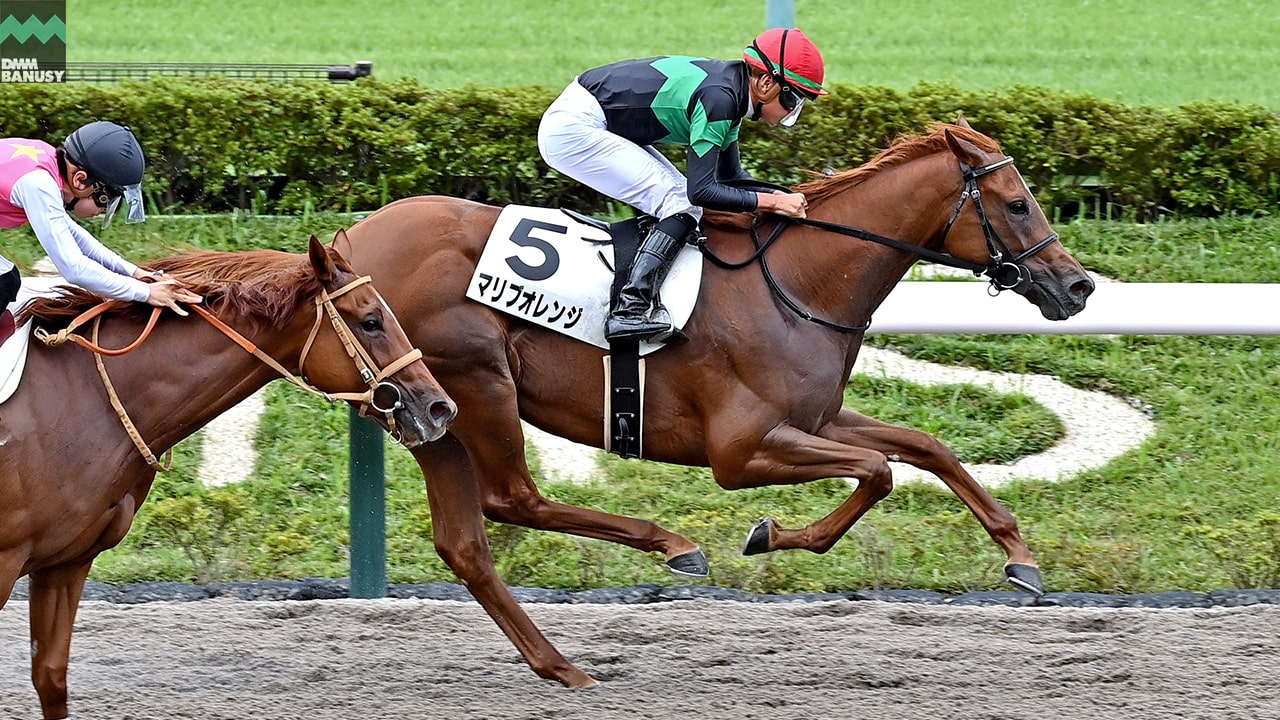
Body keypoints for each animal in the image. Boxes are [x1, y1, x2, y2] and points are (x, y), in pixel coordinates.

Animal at [0, 235, 460, 717]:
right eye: (371, 321)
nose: (439, 408)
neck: (83, 398)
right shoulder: (7, 562)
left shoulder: (65, 563)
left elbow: (51, 678)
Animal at [343, 119, 1100, 681]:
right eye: (1016, 203)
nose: (1078, 287)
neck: (798, 280)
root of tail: (348, 243)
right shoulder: (740, 451)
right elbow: (879, 472)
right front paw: (771, 534)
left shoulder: (818, 417)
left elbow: (926, 447)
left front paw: (1020, 556)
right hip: (476, 382)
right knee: (512, 500)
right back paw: (673, 547)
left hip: (431, 413)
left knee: (465, 542)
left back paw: (560, 663)